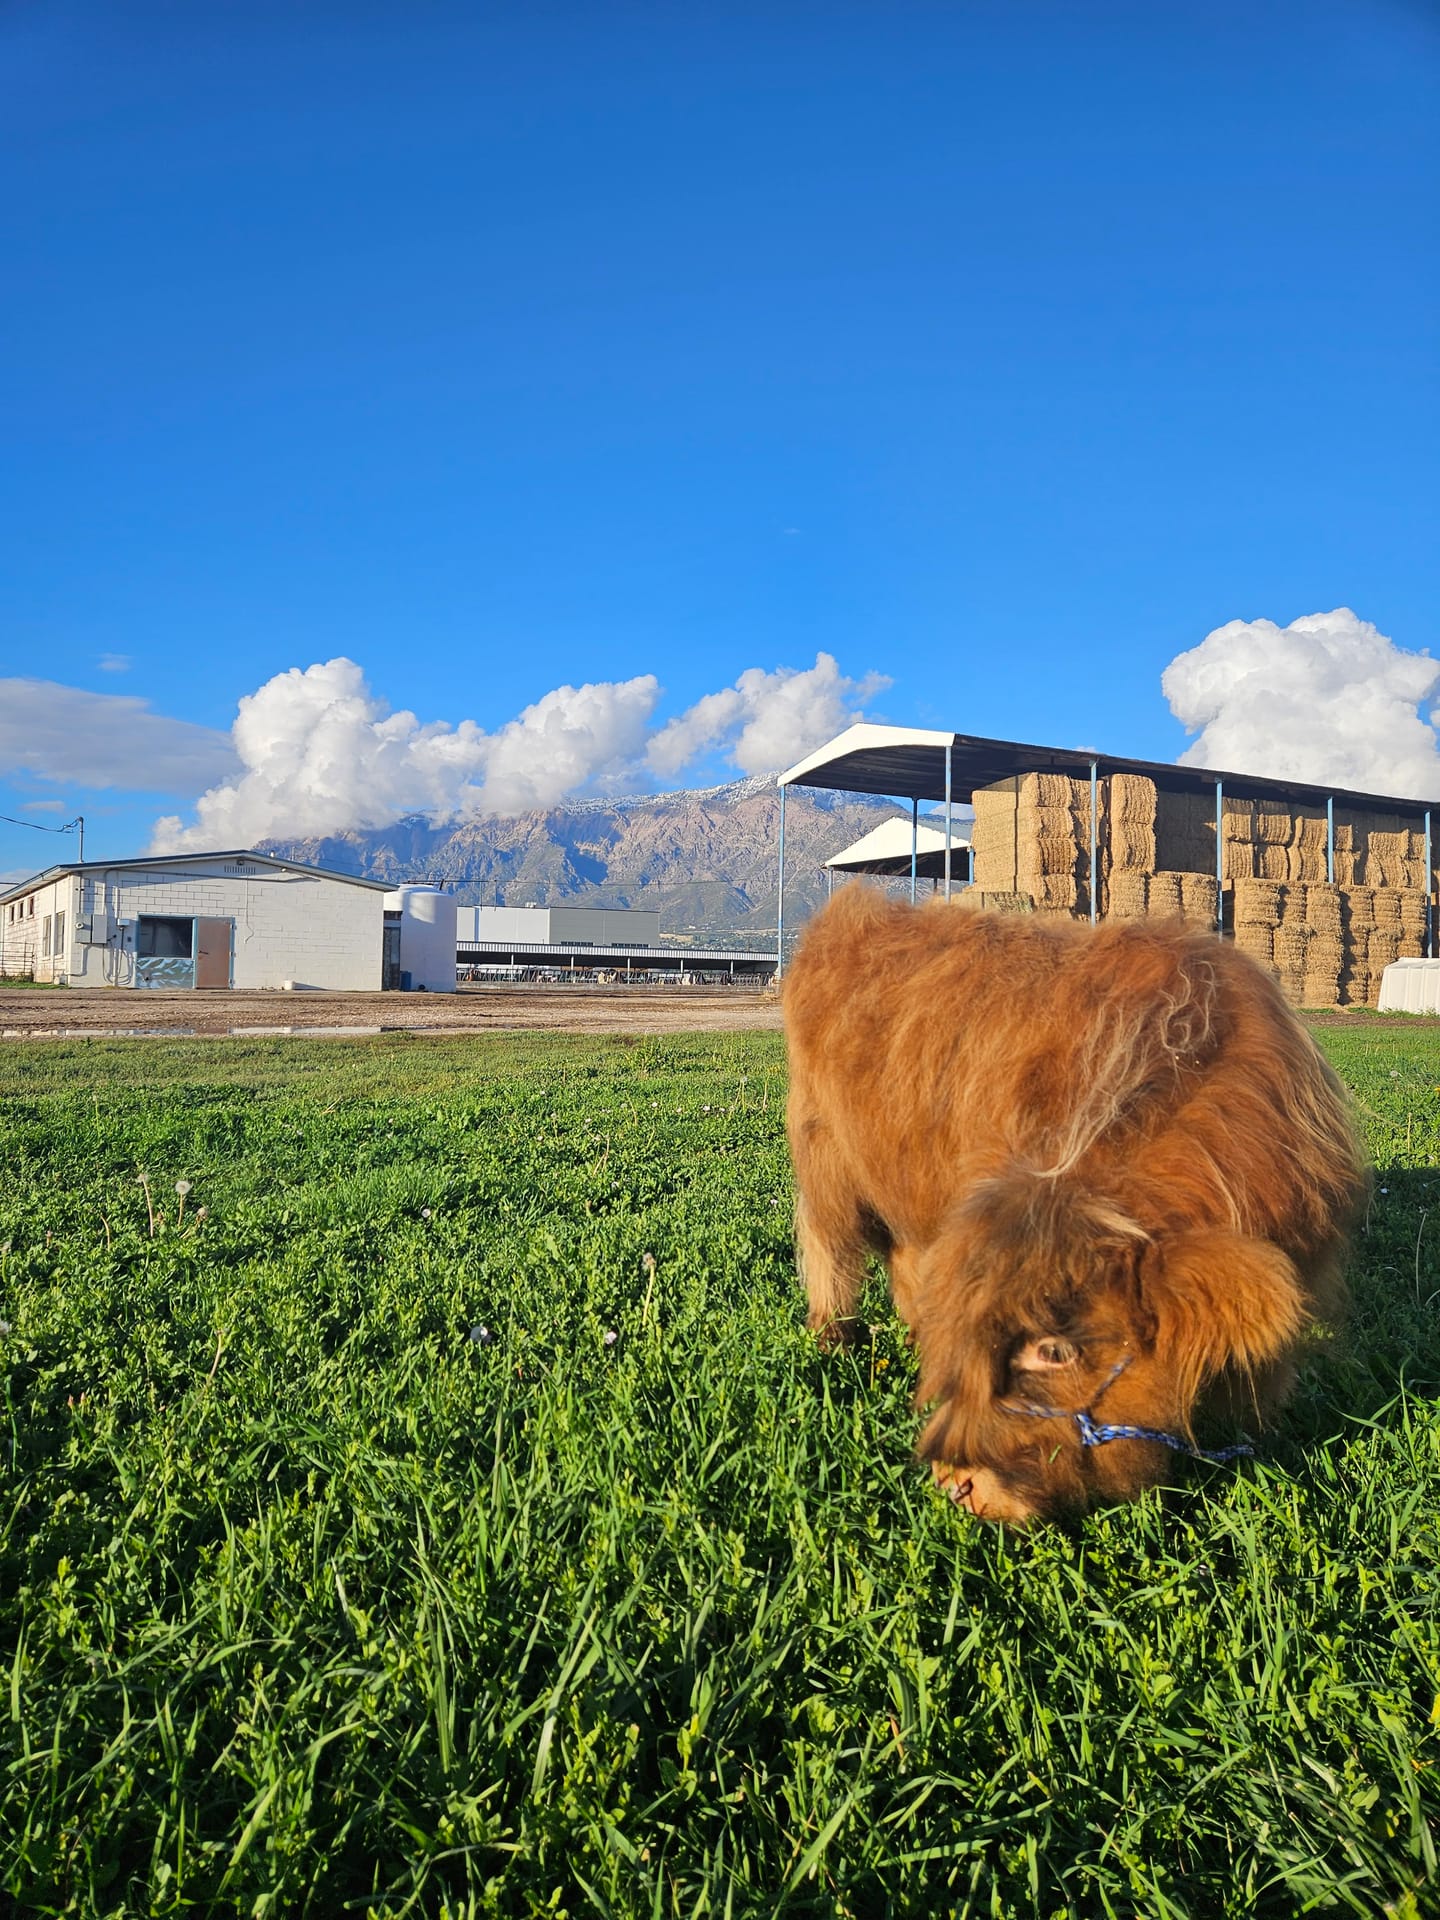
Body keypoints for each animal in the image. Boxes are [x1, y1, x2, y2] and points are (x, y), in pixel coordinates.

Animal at [782, 885, 1367, 1524]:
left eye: (1055, 1352)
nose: (957, 1484)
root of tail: (859, 910)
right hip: (826, 1153)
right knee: (831, 1246)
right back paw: (832, 1337)